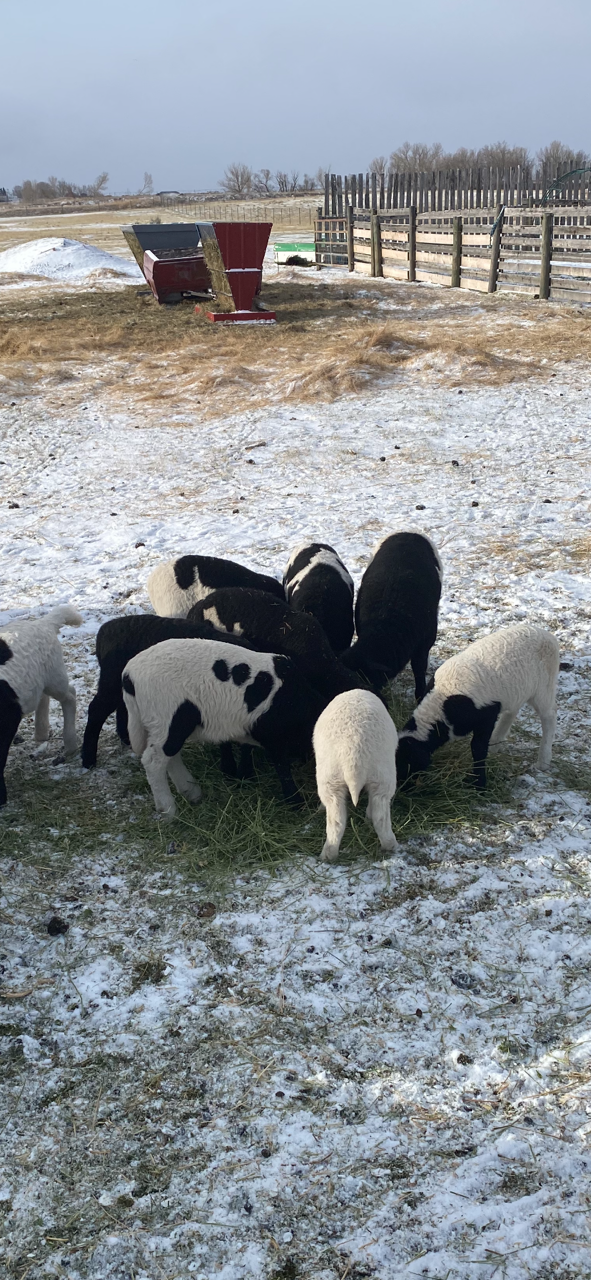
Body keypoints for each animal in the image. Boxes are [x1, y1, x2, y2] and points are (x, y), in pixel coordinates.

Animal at [0, 605, 82, 806]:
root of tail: (43, 623)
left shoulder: (8, 718)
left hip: (54, 675)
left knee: (69, 695)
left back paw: (69, 744)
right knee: (42, 695)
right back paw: (41, 732)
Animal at [81, 614, 256, 778]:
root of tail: (104, 630)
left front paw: (245, 772)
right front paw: (231, 770)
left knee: (122, 706)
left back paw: (126, 738)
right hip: (110, 681)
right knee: (96, 710)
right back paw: (88, 759)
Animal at [122, 637, 326, 819]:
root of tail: (129, 675)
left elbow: (249, 749)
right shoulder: (273, 734)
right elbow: (282, 767)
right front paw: (295, 801)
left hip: (166, 725)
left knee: (170, 757)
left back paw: (191, 792)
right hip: (167, 717)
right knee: (154, 761)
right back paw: (169, 811)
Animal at [396, 623, 559, 790]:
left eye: (407, 764)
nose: (400, 790)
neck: (442, 705)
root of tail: (547, 635)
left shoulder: (486, 716)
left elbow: (478, 748)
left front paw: (479, 784)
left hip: (544, 687)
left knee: (549, 715)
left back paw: (543, 761)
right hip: (519, 689)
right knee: (512, 711)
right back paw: (495, 744)